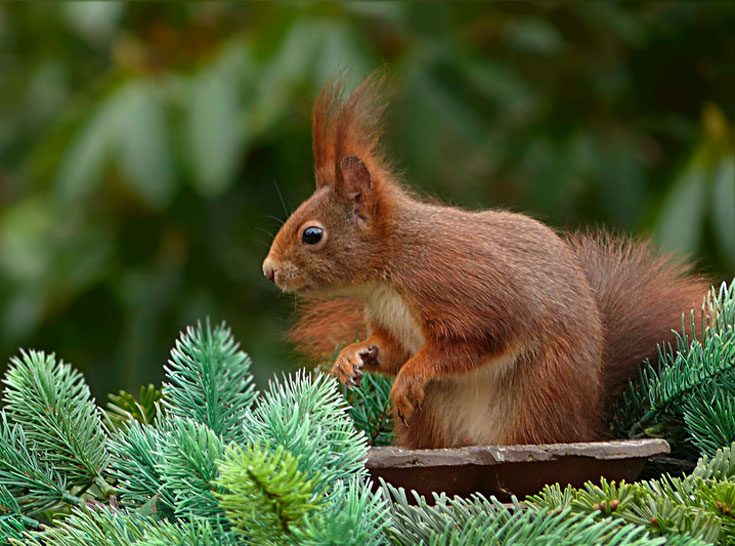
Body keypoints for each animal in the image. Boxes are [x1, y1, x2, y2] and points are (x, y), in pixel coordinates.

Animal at [262, 72, 712, 446]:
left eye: (312, 235)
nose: (268, 271)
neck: (391, 270)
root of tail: (586, 423)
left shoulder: (458, 284)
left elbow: (476, 339)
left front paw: (412, 374)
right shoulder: (391, 321)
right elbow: (391, 351)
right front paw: (352, 355)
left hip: (538, 393)